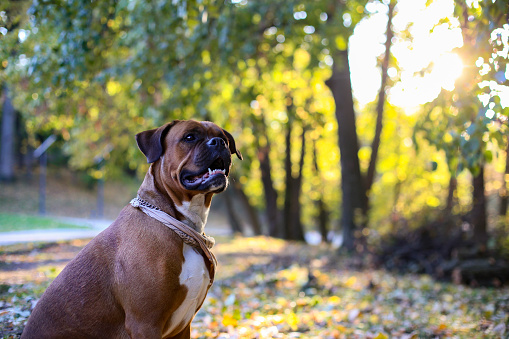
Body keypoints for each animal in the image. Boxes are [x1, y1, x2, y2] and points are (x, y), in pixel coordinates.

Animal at [23, 121, 244, 339]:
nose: (218, 143)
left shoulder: (183, 327)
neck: (176, 222)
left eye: (223, 138)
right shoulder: (145, 324)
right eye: (190, 137)